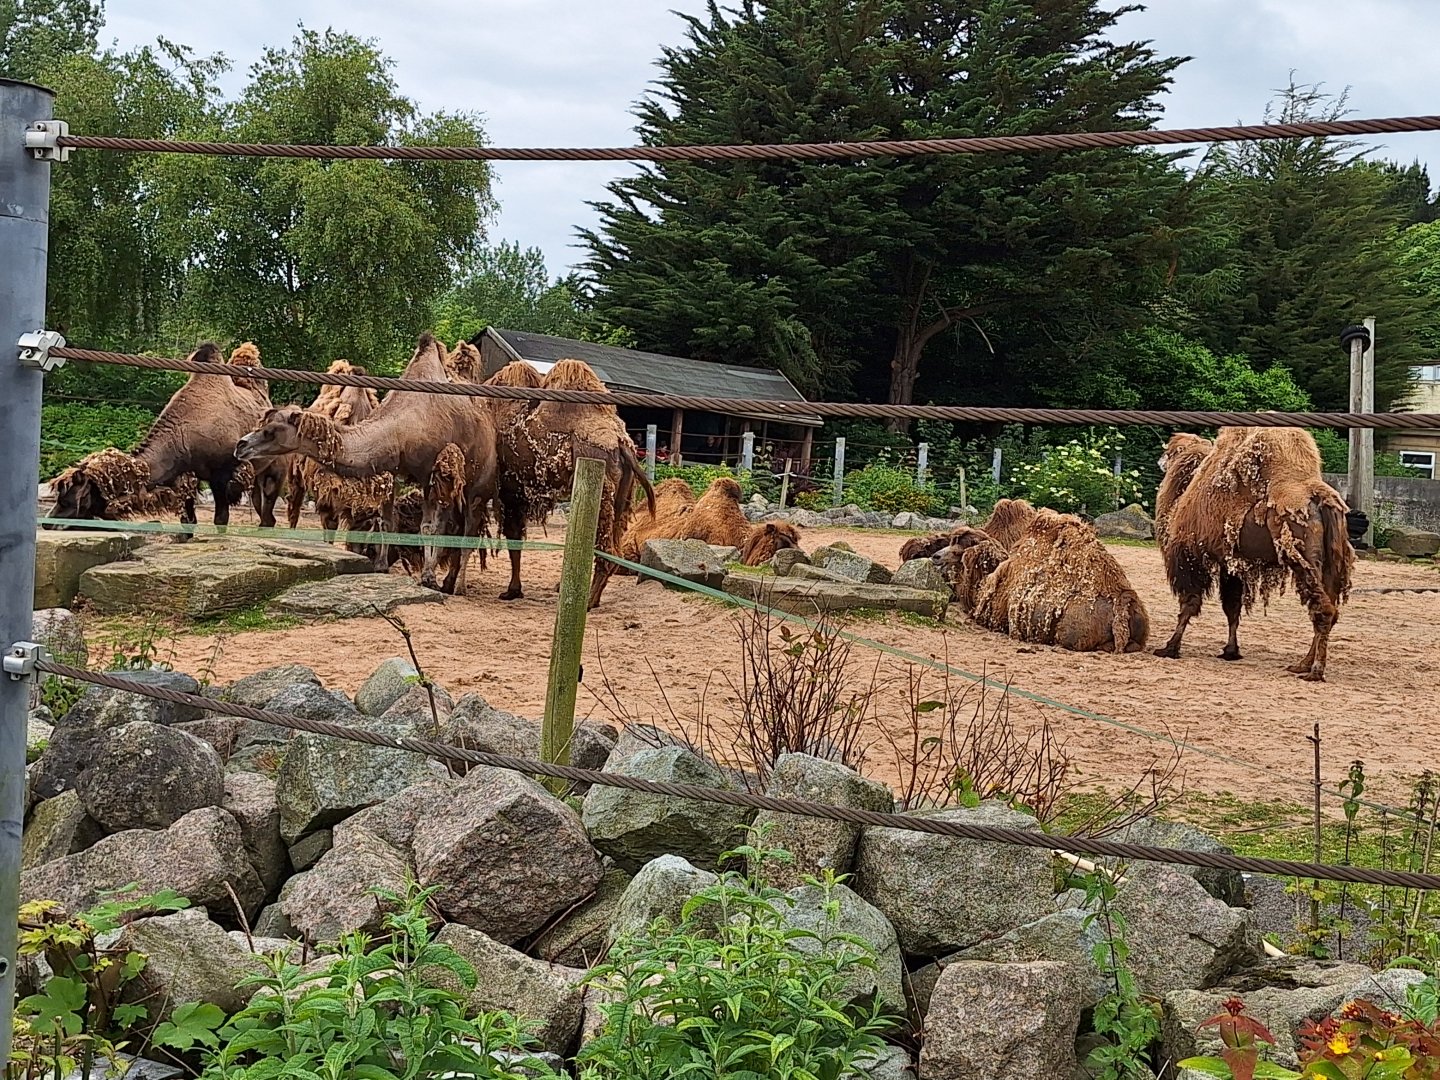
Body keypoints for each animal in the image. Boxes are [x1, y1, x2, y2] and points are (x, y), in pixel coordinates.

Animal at [49, 342, 285, 529]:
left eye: (69, 501)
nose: (50, 522)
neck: (185, 436)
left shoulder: (221, 472)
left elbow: (221, 518)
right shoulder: (187, 475)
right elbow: (188, 520)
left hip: (274, 470)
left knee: (268, 513)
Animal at [235, 332, 497, 594]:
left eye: (270, 431)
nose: (241, 445)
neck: (403, 428)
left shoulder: (433, 471)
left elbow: (429, 527)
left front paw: (428, 578)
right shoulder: (396, 471)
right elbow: (389, 521)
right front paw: (382, 566)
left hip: (478, 483)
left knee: (469, 528)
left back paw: (458, 586)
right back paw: (449, 581)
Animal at [495, 358, 656, 609]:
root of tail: (621, 443)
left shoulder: (510, 491)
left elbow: (513, 537)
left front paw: (512, 590)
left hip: (601, 489)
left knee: (605, 549)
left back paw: (588, 601)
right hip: (623, 498)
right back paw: (590, 598)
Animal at [1152, 428, 1353, 682]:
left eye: (1169, 451)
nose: (1159, 461)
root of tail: (1319, 497)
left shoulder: (1189, 557)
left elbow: (1189, 603)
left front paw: (1169, 647)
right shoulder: (1230, 563)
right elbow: (1232, 608)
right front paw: (1231, 651)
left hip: (1302, 557)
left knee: (1323, 609)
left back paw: (1315, 670)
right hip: (1330, 563)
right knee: (1328, 607)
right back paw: (1301, 664)